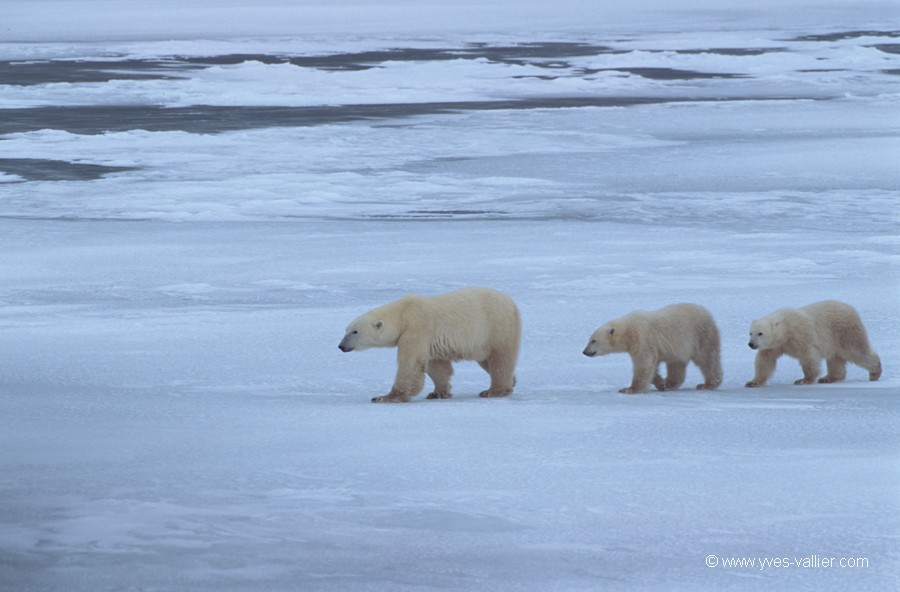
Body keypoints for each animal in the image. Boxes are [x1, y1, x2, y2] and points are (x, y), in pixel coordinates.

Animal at [338, 286, 520, 402]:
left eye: (354, 331)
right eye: (346, 330)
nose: (341, 346)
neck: (403, 314)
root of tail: (511, 302)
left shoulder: (417, 328)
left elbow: (411, 364)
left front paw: (384, 397)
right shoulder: (428, 339)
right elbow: (436, 366)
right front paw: (438, 393)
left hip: (496, 328)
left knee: (500, 360)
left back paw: (494, 391)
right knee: (487, 361)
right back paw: (512, 381)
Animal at [584, 302, 724, 396]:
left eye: (593, 340)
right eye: (590, 339)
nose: (584, 352)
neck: (628, 331)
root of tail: (706, 312)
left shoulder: (642, 338)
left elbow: (644, 364)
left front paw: (629, 389)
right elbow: (652, 365)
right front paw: (661, 383)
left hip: (701, 335)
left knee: (707, 359)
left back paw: (707, 384)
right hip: (680, 346)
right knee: (676, 364)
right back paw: (670, 383)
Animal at [740, 300, 884, 388]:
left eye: (760, 333)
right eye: (750, 333)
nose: (751, 344)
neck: (785, 330)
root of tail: (850, 308)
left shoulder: (799, 335)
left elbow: (808, 355)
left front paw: (804, 380)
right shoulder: (774, 346)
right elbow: (765, 361)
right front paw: (753, 382)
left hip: (845, 332)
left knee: (856, 351)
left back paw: (875, 372)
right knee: (835, 358)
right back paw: (828, 378)